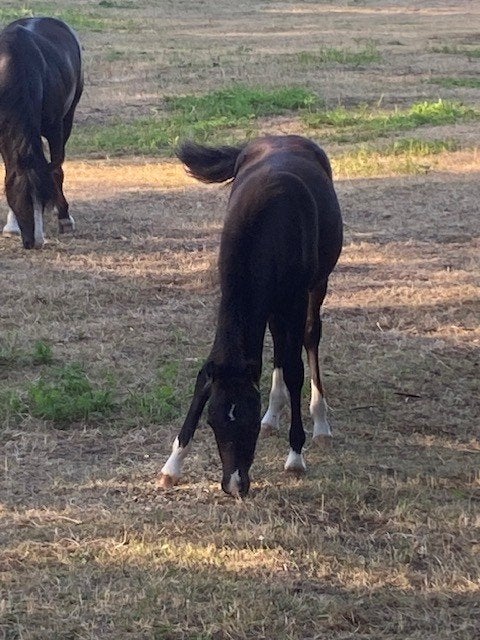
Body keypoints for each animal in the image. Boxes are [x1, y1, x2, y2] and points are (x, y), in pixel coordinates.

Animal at [0, 17, 83, 249]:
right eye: (19, 197)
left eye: (43, 199)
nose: (34, 241)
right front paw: (11, 225)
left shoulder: (55, 130)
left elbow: (56, 171)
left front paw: (64, 218)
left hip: (68, 118)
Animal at [159, 135, 343, 497]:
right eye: (212, 421)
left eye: (247, 420)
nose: (234, 485)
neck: (266, 224)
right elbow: (206, 376)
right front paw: (172, 464)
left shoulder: (295, 298)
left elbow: (296, 370)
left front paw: (296, 456)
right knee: (277, 342)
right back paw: (274, 415)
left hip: (316, 286)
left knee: (310, 336)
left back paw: (321, 422)